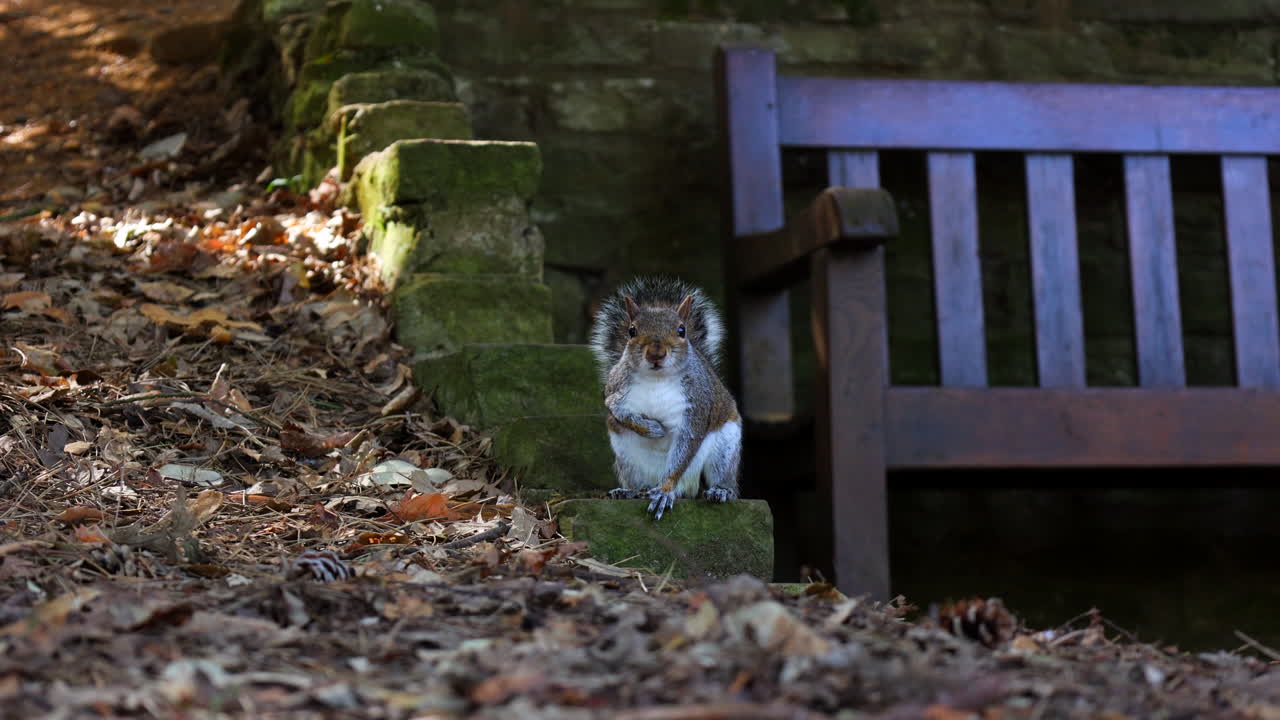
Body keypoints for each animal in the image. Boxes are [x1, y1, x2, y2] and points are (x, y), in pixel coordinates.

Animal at [589, 277, 742, 520]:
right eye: (631, 331)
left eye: (682, 330)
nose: (656, 354)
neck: (656, 379)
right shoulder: (614, 391)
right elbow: (618, 411)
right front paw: (652, 429)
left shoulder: (696, 407)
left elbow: (686, 446)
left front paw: (664, 491)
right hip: (627, 459)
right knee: (639, 483)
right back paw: (631, 491)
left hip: (725, 446)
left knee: (722, 476)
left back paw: (720, 490)